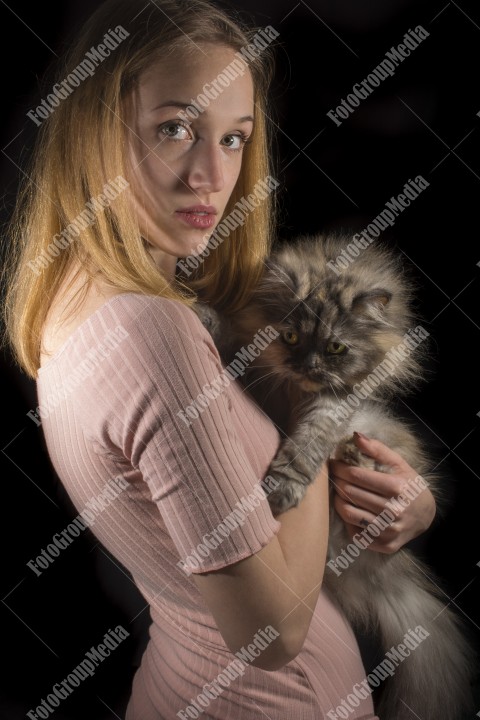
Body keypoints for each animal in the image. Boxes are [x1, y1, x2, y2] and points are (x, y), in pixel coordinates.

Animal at [195, 235, 476, 720]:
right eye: (290, 336)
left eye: (336, 349)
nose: (307, 366)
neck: (295, 389)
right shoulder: (258, 366)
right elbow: (232, 340)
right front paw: (203, 315)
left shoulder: (334, 404)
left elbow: (309, 444)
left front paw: (283, 487)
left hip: (374, 429)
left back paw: (354, 456)